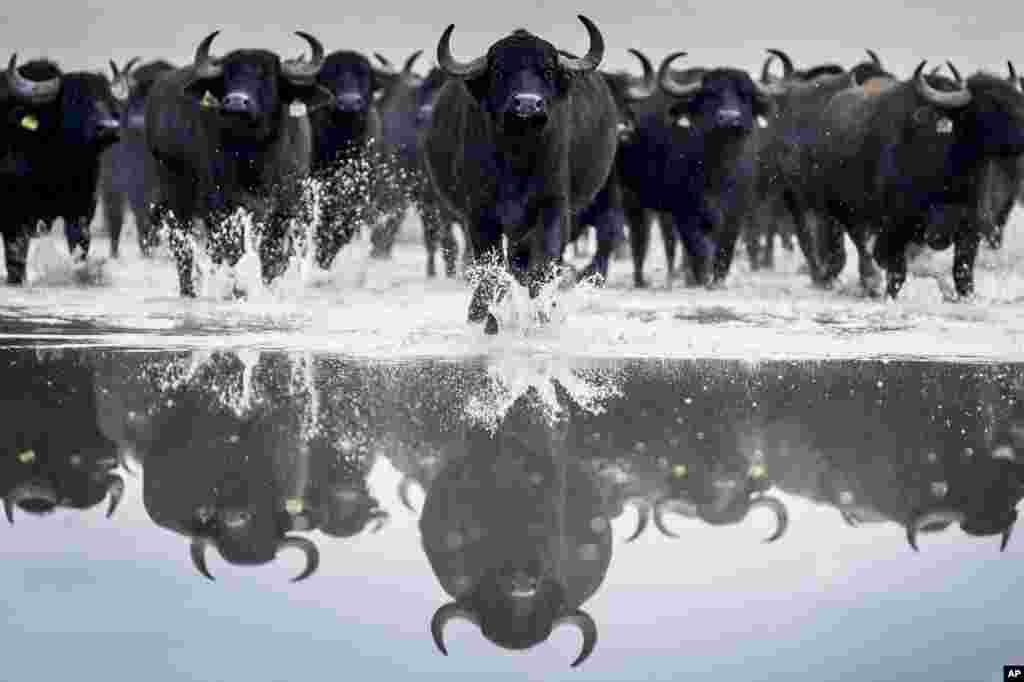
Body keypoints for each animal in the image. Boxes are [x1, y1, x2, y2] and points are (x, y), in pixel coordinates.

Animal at [0, 54, 120, 284]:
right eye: (75, 102)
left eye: (108, 100)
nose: (109, 128)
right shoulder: (14, 215)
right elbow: (16, 259)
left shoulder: (81, 210)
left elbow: (80, 249)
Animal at [145, 30, 331, 294]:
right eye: (228, 76)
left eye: (266, 76)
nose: (235, 103)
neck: (253, 158)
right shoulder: (221, 205)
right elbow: (233, 250)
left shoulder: (285, 206)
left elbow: (272, 254)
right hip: (175, 195)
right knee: (184, 248)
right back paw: (190, 290)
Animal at [421, 15, 614, 333]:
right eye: (500, 71)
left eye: (547, 70)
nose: (527, 103)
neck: (518, 156)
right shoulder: (480, 214)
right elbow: (491, 270)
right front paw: (489, 322)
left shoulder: (553, 206)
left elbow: (543, 264)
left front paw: (541, 316)